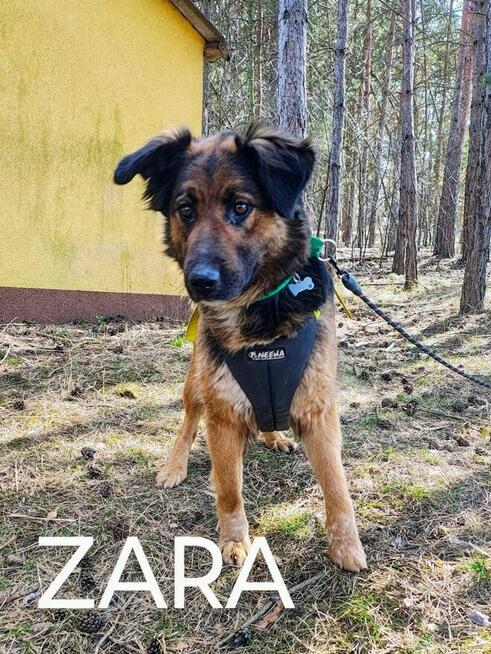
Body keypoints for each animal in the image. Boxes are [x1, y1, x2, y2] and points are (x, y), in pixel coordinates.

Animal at [114, 123, 367, 572]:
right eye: (185, 210)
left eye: (240, 207)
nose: (200, 282)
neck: (259, 315)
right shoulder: (223, 416)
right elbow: (229, 488)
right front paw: (234, 541)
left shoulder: (318, 410)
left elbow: (337, 485)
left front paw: (346, 546)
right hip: (197, 382)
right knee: (187, 422)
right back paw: (174, 465)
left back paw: (273, 436)